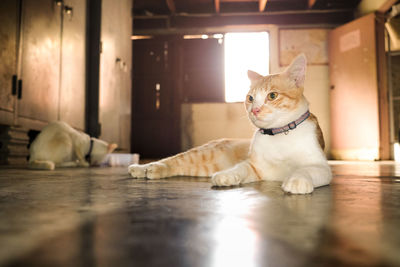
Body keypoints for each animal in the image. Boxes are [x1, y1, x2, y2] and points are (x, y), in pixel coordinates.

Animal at [128, 55, 332, 195]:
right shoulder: (253, 166)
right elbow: (239, 168)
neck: (279, 135)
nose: (254, 110)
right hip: (201, 154)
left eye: (272, 96)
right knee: (170, 159)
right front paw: (227, 175)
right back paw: (141, 168)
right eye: (250, 98)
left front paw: (297, 180)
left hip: (202, 167)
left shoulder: (322, 167)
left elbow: (306, 169)